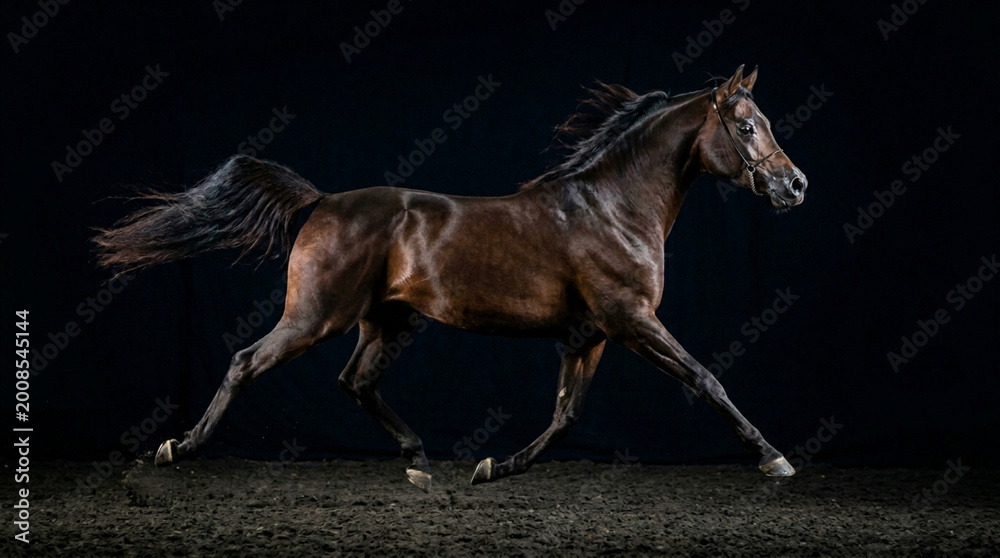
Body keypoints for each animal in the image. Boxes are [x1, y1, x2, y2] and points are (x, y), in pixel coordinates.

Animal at [93, 65, 807, 491]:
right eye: (746, 126)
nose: (795, 185)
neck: (612, 207)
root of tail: (321, 201)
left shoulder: (591, 334)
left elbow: (566, 415)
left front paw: (494, 467)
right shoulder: (631, 320)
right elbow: (706, 379)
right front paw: (773, 457)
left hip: (386, 319)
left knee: (356, 382)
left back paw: (418, 461)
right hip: (316, 315)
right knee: (247, 361)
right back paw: (176, 448)